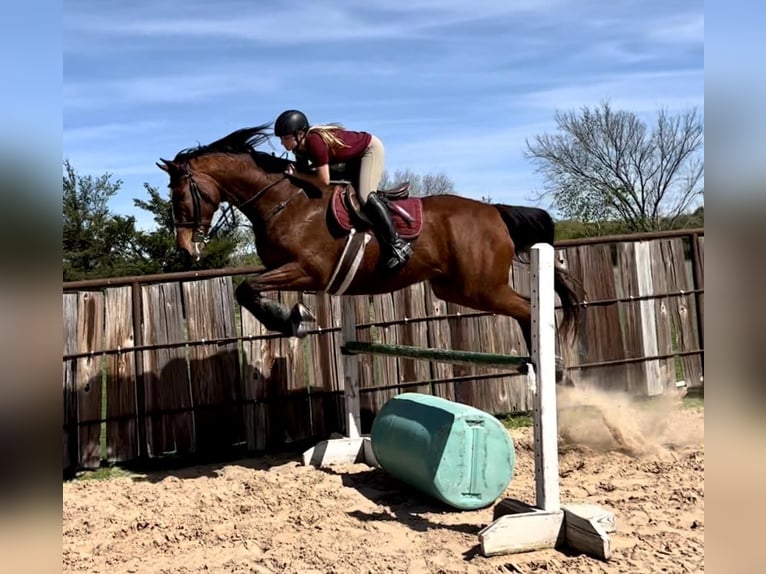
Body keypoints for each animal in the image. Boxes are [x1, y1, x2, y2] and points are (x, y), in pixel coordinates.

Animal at [159, 124, 584, 380]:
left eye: (180, 196)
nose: (185, 248)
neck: (283, 201)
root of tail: (495, 211)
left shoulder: (308, 270)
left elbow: (246, 289)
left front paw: (292, 319)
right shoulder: (289, 270)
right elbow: (246, 291)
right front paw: (292, 317)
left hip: (480, 288)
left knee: (526, 308)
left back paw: (550, 366)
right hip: (455, 288)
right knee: (523, 308)